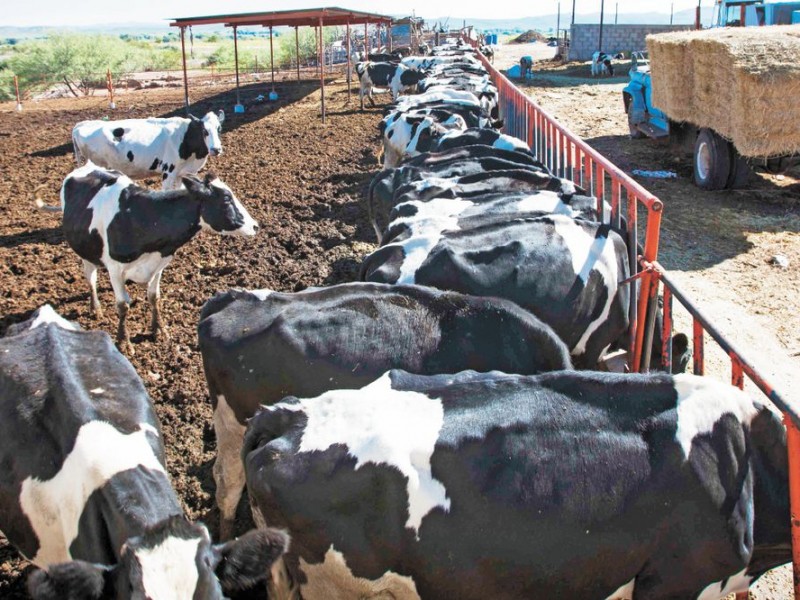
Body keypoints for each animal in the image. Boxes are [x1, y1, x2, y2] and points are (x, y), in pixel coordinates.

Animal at [72, 109, 225, 190]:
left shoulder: (182, 173)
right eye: (204, 131)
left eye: (219, 128)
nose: (216, 149)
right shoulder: (168, 171)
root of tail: (81, 125)